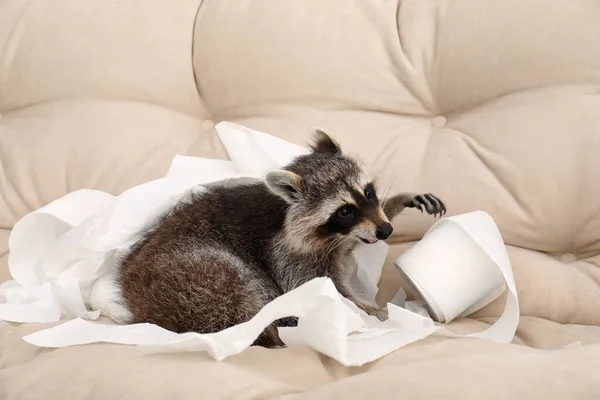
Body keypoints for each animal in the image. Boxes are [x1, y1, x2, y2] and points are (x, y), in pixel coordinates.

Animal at [117, 130, 446, 346]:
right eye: (344, 211)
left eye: (368, 192)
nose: (386, 231)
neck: (285, 208)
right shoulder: (287, 254)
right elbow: (319, 290)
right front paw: (373, 313)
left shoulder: (341, 239)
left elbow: (353, 242)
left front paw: (398, 201)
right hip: (190, 277)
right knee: (241, 290)